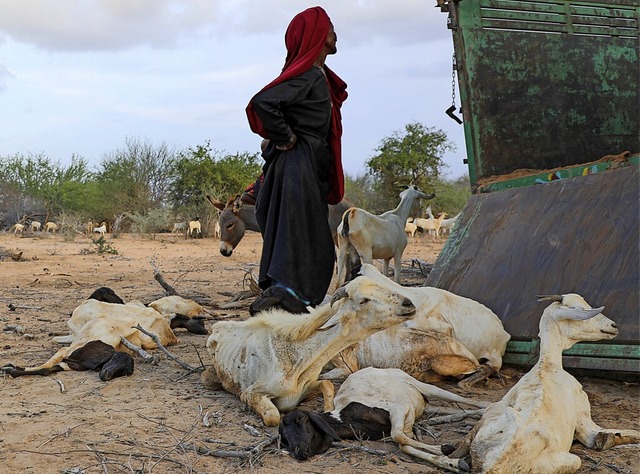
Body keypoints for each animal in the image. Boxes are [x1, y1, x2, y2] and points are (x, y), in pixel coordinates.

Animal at [202, 274, 418, 426]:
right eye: (363, 300)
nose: (408, 303)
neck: (297, 355)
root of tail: (217, 328)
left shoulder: (305, 388)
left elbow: (327, 385)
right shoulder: (252, 393)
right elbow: (273, 417)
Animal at [278, 368, 488, 472]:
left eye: (301, 419)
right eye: (284, 437)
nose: (299, 452)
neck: (346, 416)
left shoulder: (398, 409)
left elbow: (399, 437)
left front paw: (446, 449)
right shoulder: (403, 424)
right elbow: (405, 445)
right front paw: (452, 462)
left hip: (426, 387)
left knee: (462, 398)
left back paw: (487, 405)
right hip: (424, 404)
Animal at [444, 294, 640, 472]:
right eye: (581, 309)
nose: (614, 326)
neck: (547, 365)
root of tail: (495, 464)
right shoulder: (585, 420)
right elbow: (624, 432)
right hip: (570, 460)